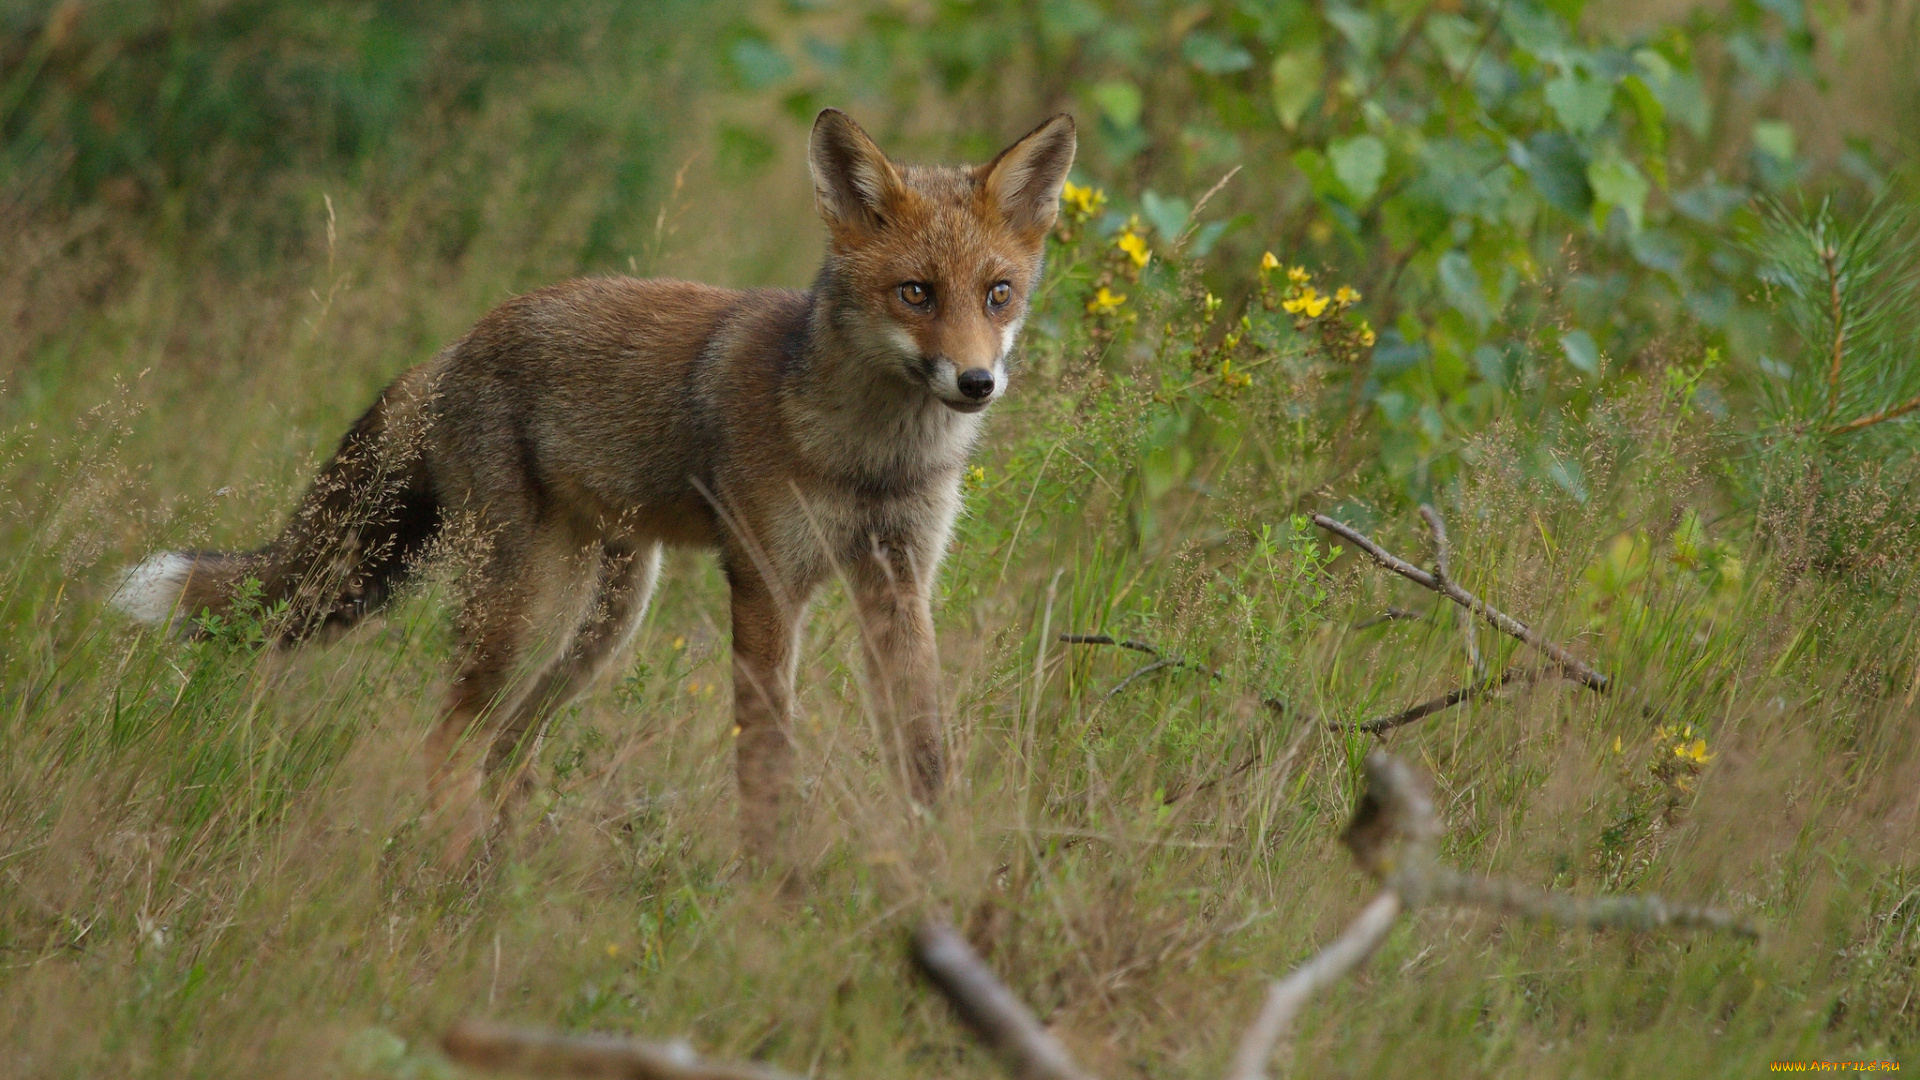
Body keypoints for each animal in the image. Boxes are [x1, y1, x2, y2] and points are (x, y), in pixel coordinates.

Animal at [112, 111, 1082, 857]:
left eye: (997, 294)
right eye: (916, 293)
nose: (976, 383)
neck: (872, 457)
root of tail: (458, 345)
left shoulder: (899, 580)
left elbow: (925, 753)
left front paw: (944, 872)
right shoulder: (766, 580)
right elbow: (766, 762)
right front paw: (774, 896)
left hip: (605, 618)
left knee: (503, 748)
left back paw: (505, 868)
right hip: (523, 610)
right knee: (450, 738)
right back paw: (455, 875)